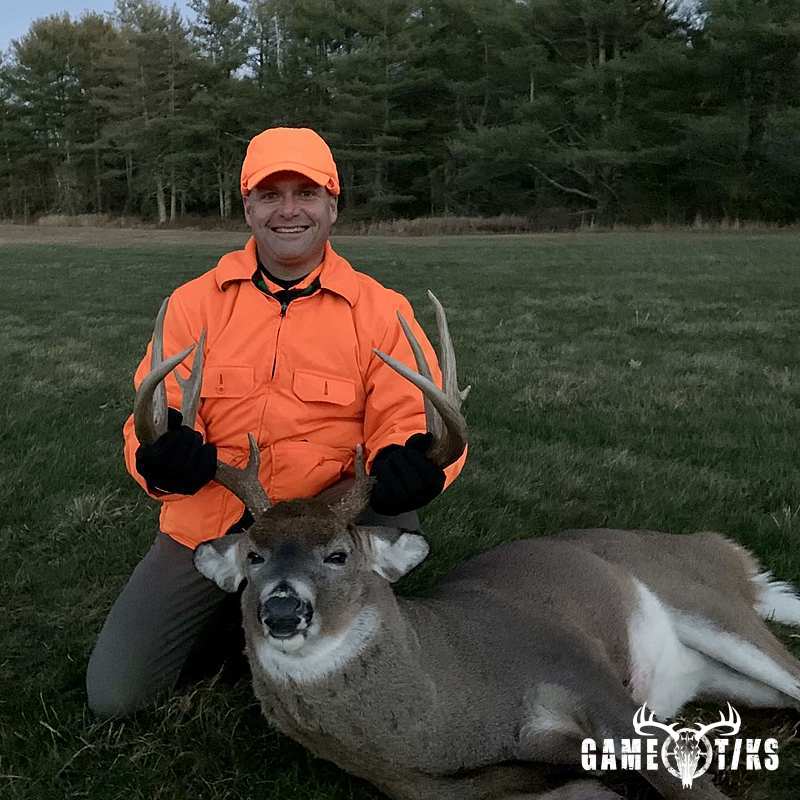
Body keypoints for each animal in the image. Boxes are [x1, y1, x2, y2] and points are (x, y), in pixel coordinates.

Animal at [133, 291, 800, 800]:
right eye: (253, 557)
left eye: (339, 555)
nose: (282, 609)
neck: (453, 706)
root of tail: (722, 549)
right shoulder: (438, 785)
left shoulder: (588, 676)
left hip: (709, 604)